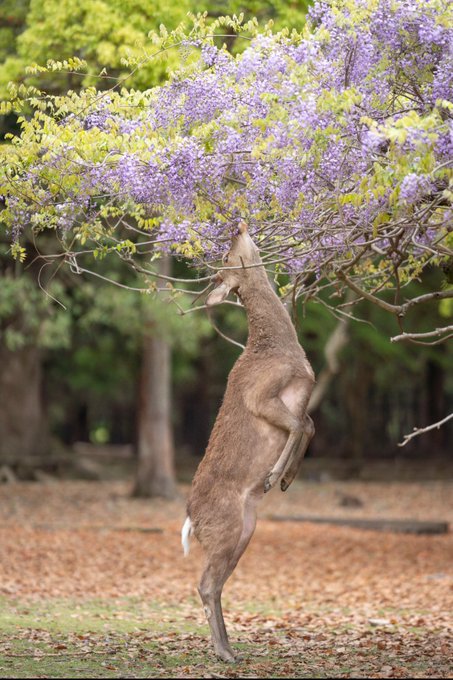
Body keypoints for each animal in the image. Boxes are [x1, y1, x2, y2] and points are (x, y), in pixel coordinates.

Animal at [181, 221, 315, 663]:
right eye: (227, 258)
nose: (235, 224)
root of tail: (191, 520)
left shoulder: (301, 397)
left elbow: (308, 425)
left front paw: (286, 478)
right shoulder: (261, 395)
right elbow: (299, 425)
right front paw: (275, 475)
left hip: (243, 531)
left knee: (216, 582)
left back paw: (227, 647)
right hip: (225, 528)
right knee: (206, 582)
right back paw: (224, 652)